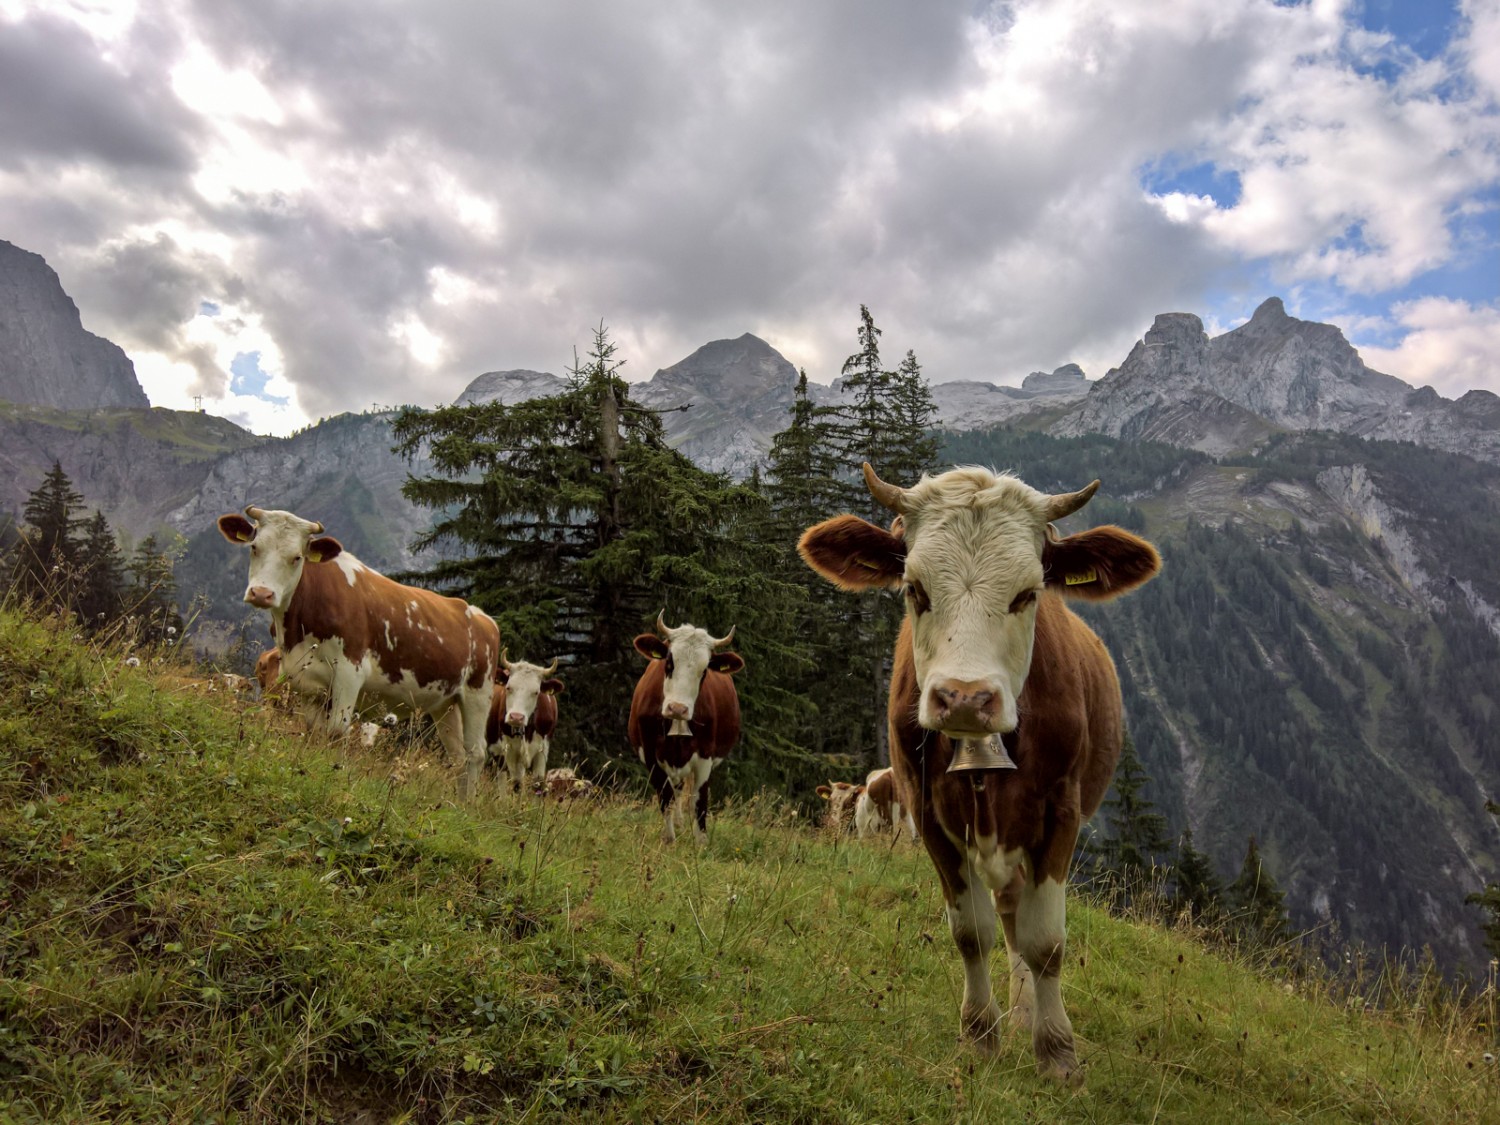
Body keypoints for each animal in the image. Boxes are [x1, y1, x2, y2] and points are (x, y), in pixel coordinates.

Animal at [217, 507, 501, 798]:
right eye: (254, 547)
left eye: (297, 557)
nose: (262, 593)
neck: (297, 631)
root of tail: (479, 615)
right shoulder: (307, 682)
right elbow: (313, 732)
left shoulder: (349, 672)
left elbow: (335, 733)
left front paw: (330, 780)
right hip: (446, 703)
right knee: (458, 756)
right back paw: (457, 802)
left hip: (478, 694)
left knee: (475, 754)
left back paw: (468, 805)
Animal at [489, 648, 564, 798]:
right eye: (508, 687)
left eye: (536, 692)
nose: (516, 717)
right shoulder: (511, 750)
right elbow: (517, 784)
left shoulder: (543, 749)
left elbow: (538, 784)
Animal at [630, 618, 747, 846]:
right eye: (669, 662)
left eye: (705, 671)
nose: (678, 708)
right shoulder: (650, 755)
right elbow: (665, 797)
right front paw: (669, 839)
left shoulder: (705, 757)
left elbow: (699, 802)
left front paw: (701, 843)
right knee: (675, 790)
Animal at [798, 465, 1158, 1086]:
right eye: (914, 589)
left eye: (1029, 593)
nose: (965, 697)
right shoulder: (928, 817)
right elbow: (971, 933)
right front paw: (979, 1036)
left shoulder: (1060, 814)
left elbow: (1046, 942)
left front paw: (1056, 1051)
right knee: (1006, 915)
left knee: (1021, 921)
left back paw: (1026, 1012)